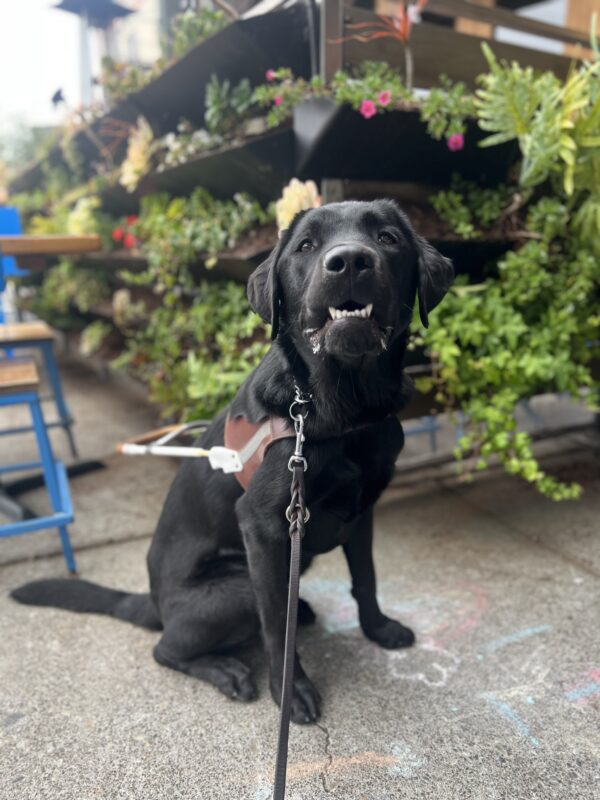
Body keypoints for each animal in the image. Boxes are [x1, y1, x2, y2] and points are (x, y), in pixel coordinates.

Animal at [11, 200, 452, 724]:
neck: (345, 411)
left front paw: (378, 629)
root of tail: (154, 601)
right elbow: (276, 624)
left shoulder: (362, 512)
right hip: (237, 587)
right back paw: (226, 670)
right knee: (167, 648)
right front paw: (290, 691)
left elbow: (366, 578)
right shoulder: (263, 527)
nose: (348, 261)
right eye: (306, 245)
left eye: (387, 238)